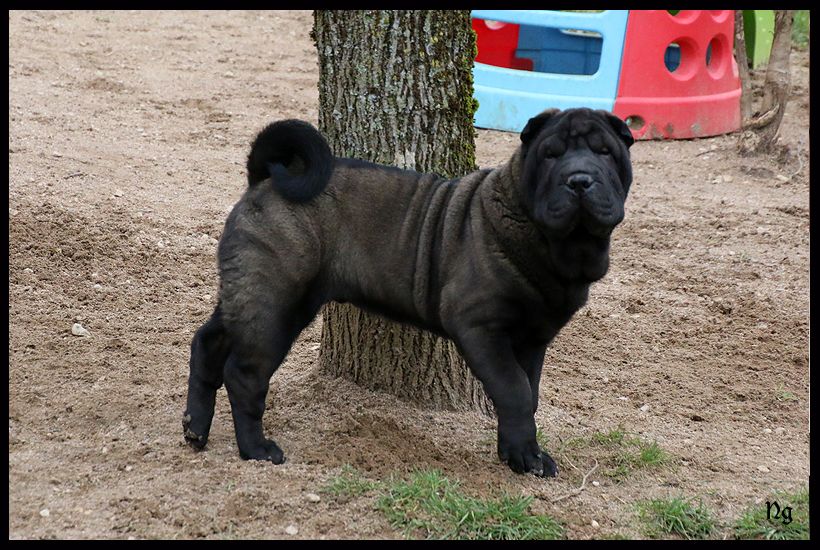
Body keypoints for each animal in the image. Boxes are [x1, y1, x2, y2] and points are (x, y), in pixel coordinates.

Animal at [186, 106, 636, 478]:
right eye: (550, 155)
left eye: (605, 153)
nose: (580, 179)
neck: (558, 244)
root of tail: (264, 179)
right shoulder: (480, 327)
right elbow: (514, 391)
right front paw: (527, 457)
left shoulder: (533, 339)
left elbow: (529, 393)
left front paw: (517, 453)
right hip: (276, 304)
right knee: (245, 375)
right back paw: (256, 450)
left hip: (248, 292)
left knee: (208, 342)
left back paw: (194, 428)